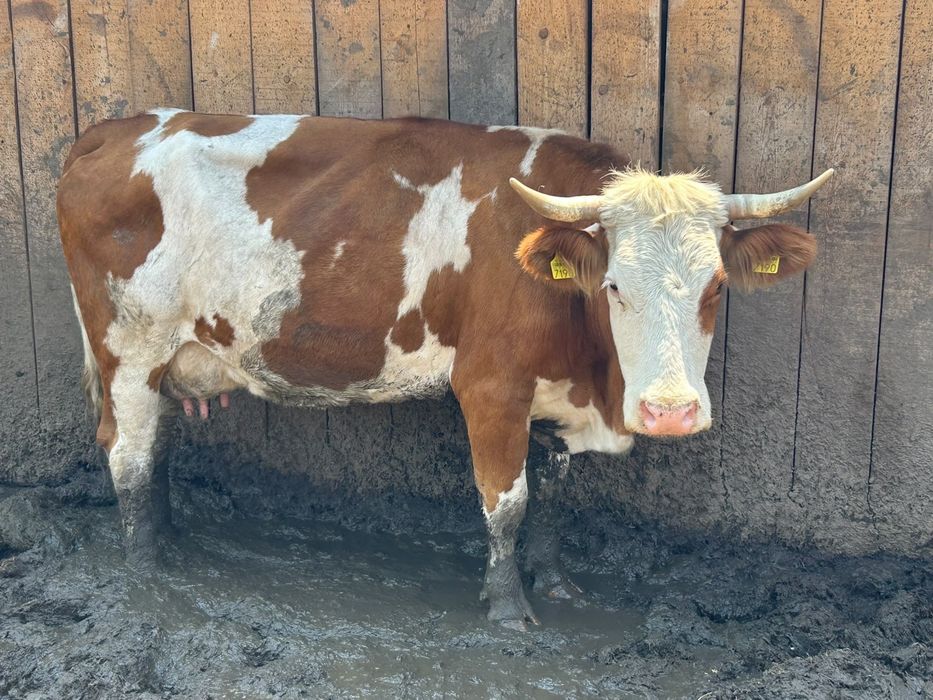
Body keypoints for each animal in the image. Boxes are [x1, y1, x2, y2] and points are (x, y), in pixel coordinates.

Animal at [57, 110, 832, 629]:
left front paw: (556, 582)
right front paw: (508, 609)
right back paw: (149, 570)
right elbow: (506, 501)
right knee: (128, 454)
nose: (670, 411)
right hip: (129, 345)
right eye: (614, 286)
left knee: (156, 445)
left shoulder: (554, 398)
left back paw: (171, 539)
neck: (593, 379)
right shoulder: (490, 387)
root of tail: (117, 128)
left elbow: (553, 498)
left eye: (715, 287)